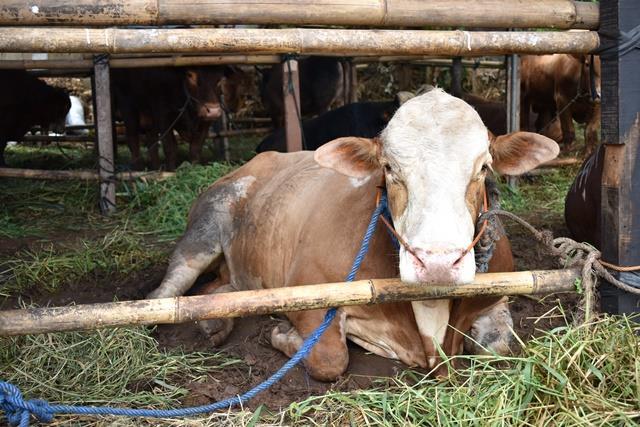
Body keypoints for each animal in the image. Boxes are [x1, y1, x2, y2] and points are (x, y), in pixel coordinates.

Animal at [148, 88, 556, 382]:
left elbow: (497, 346)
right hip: (206, 225)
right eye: (388, 168)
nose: (437, 262)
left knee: (223, 289)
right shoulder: (308, 289)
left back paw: (214, 322)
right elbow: (330, 357)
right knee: (168, 289)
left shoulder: (497, 297)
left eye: (483, 167)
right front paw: (284, 335)